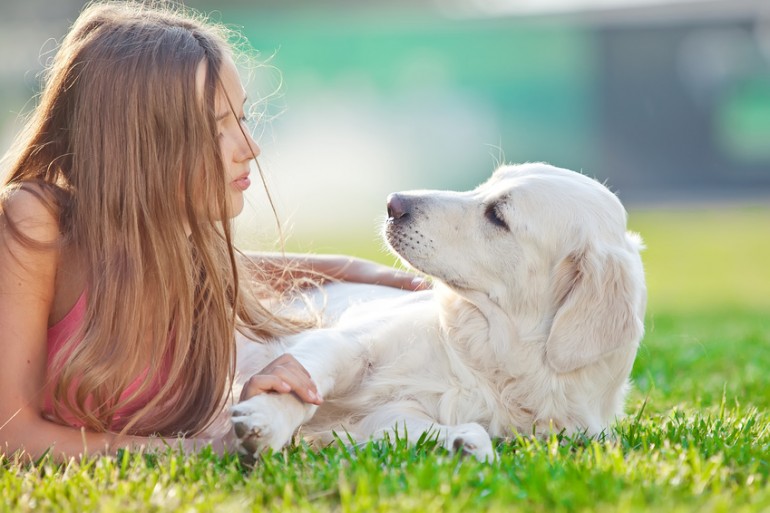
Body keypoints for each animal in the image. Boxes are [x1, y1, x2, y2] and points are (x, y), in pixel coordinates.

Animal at [226, 163, 640, 460]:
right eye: (484, 186)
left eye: (498, 215)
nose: (393, 203)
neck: (488, 358)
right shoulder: (348, 342)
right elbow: (303, 381)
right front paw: (266, 421)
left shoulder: (390, 414)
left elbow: (430, 428)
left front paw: (466, 445)